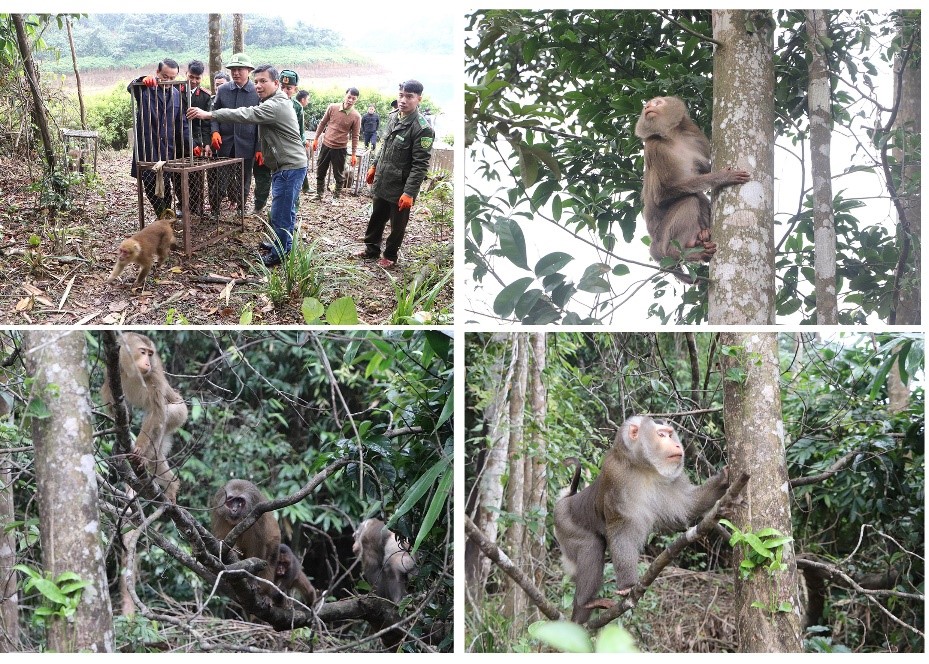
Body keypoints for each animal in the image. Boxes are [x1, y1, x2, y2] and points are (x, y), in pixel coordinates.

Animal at [100, 332, 187, 504]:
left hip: (181, 412)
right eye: (142, 352)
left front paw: (139, 448)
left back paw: (148, 460)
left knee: (163, 415)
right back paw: (171, 484)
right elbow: (115, 408)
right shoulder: (113, 371)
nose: (147, 363)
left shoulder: (155, 377)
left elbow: (155, 412)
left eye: (150, 354)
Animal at [552, 412, 732, 624]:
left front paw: (723, 479)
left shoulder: (671, 478)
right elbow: (622, 528)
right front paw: (628, 585)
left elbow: (687, 506)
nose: (677, 445)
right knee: (591, 545)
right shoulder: (617, 476)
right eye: (661, 435)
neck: (643, 468)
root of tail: (566, 500)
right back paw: (585, 602)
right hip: (565, 525)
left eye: (670, 434)